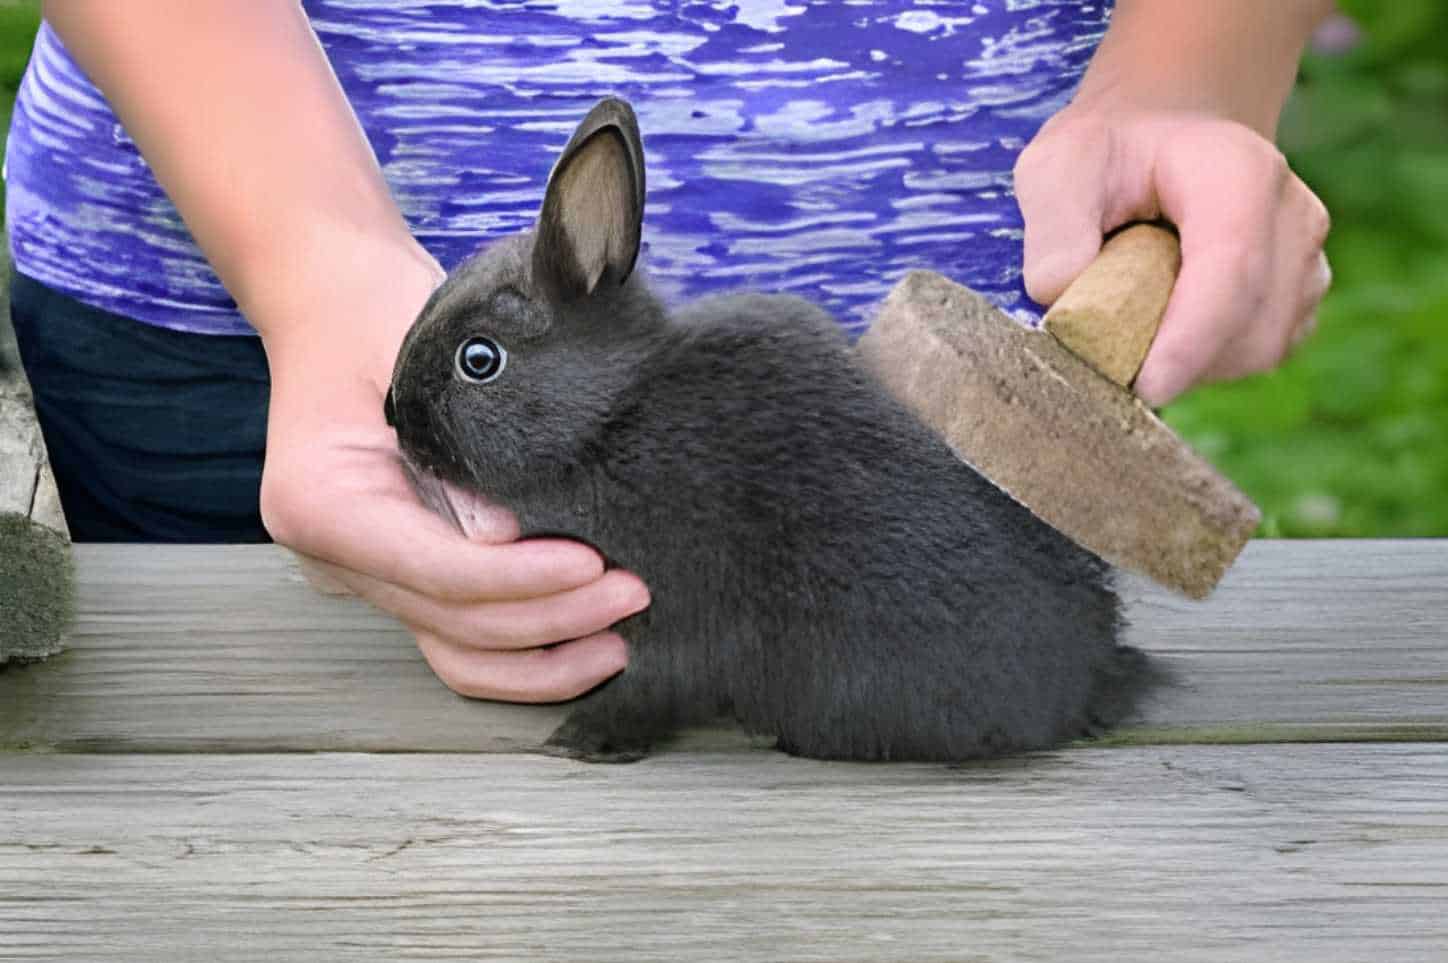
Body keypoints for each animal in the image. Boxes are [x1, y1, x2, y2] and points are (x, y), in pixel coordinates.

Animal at [388, 97, 1152, 758]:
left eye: (479, 360)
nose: (393, 414)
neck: (610, 420)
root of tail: (1090, 670)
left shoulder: (673, 611)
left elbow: (656, 683)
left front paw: (587, 739)